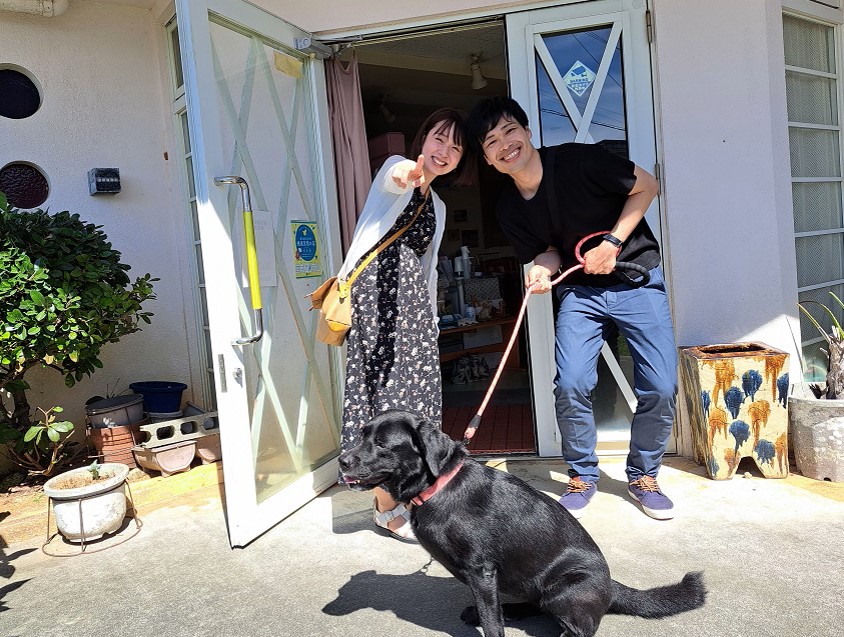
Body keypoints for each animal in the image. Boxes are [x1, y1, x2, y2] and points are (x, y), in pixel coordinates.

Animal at [338, 409, 706, 637]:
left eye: (382, 444)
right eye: (361, 435)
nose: (341, 460)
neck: (438, 486)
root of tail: (611, 585)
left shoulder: (482, 571)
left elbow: (491, 622)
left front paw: (489, 622)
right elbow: (490, 610)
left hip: (563, 590)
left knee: (580, 628)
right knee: (532, 604)